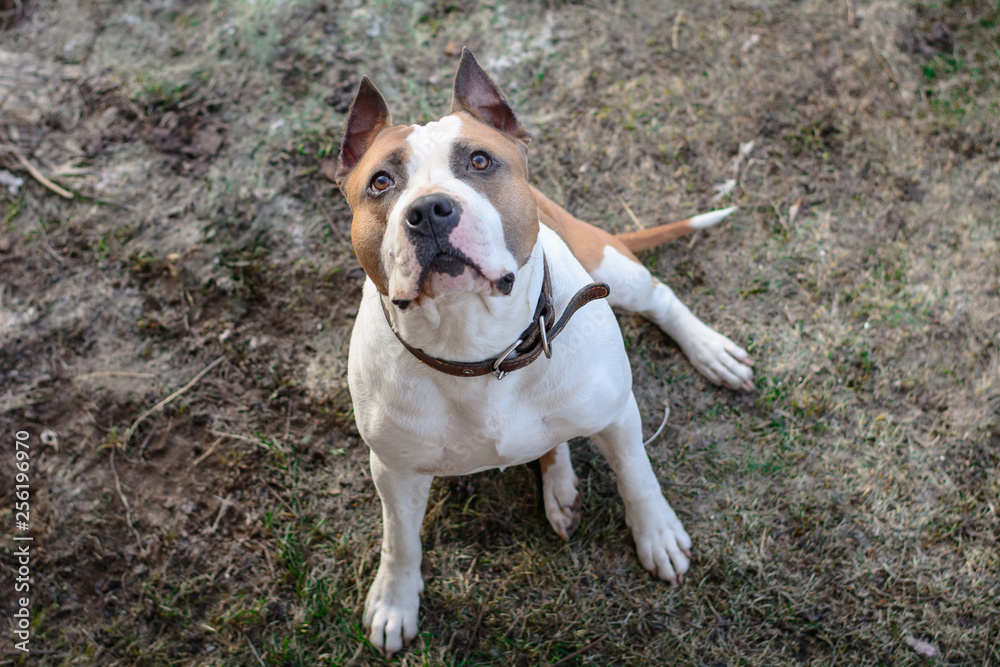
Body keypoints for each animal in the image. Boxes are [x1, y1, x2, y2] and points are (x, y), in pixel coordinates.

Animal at [336, 49, 752, 656]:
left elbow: (637, 476)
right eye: (381, 182)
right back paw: (559, 487)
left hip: (610, 266)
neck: (478, 349)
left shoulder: (619, 414)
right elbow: (400, 541)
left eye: (480, 160)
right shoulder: (394, 470)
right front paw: (394, 602)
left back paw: (711, 351)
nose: (431, 210)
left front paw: (656, 535)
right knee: (552, 442)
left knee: (661, 298)